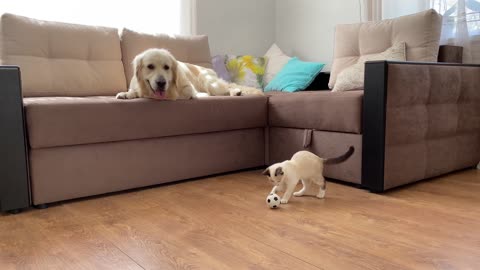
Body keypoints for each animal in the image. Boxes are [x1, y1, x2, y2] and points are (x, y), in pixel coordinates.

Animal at [117, 48, 264, 100]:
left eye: (166, 67)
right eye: (150, 66)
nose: (161, 83)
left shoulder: (186, 89)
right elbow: (134, 91)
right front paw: (126, 94)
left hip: (210, 83)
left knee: (226, 88)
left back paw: (236, 92)